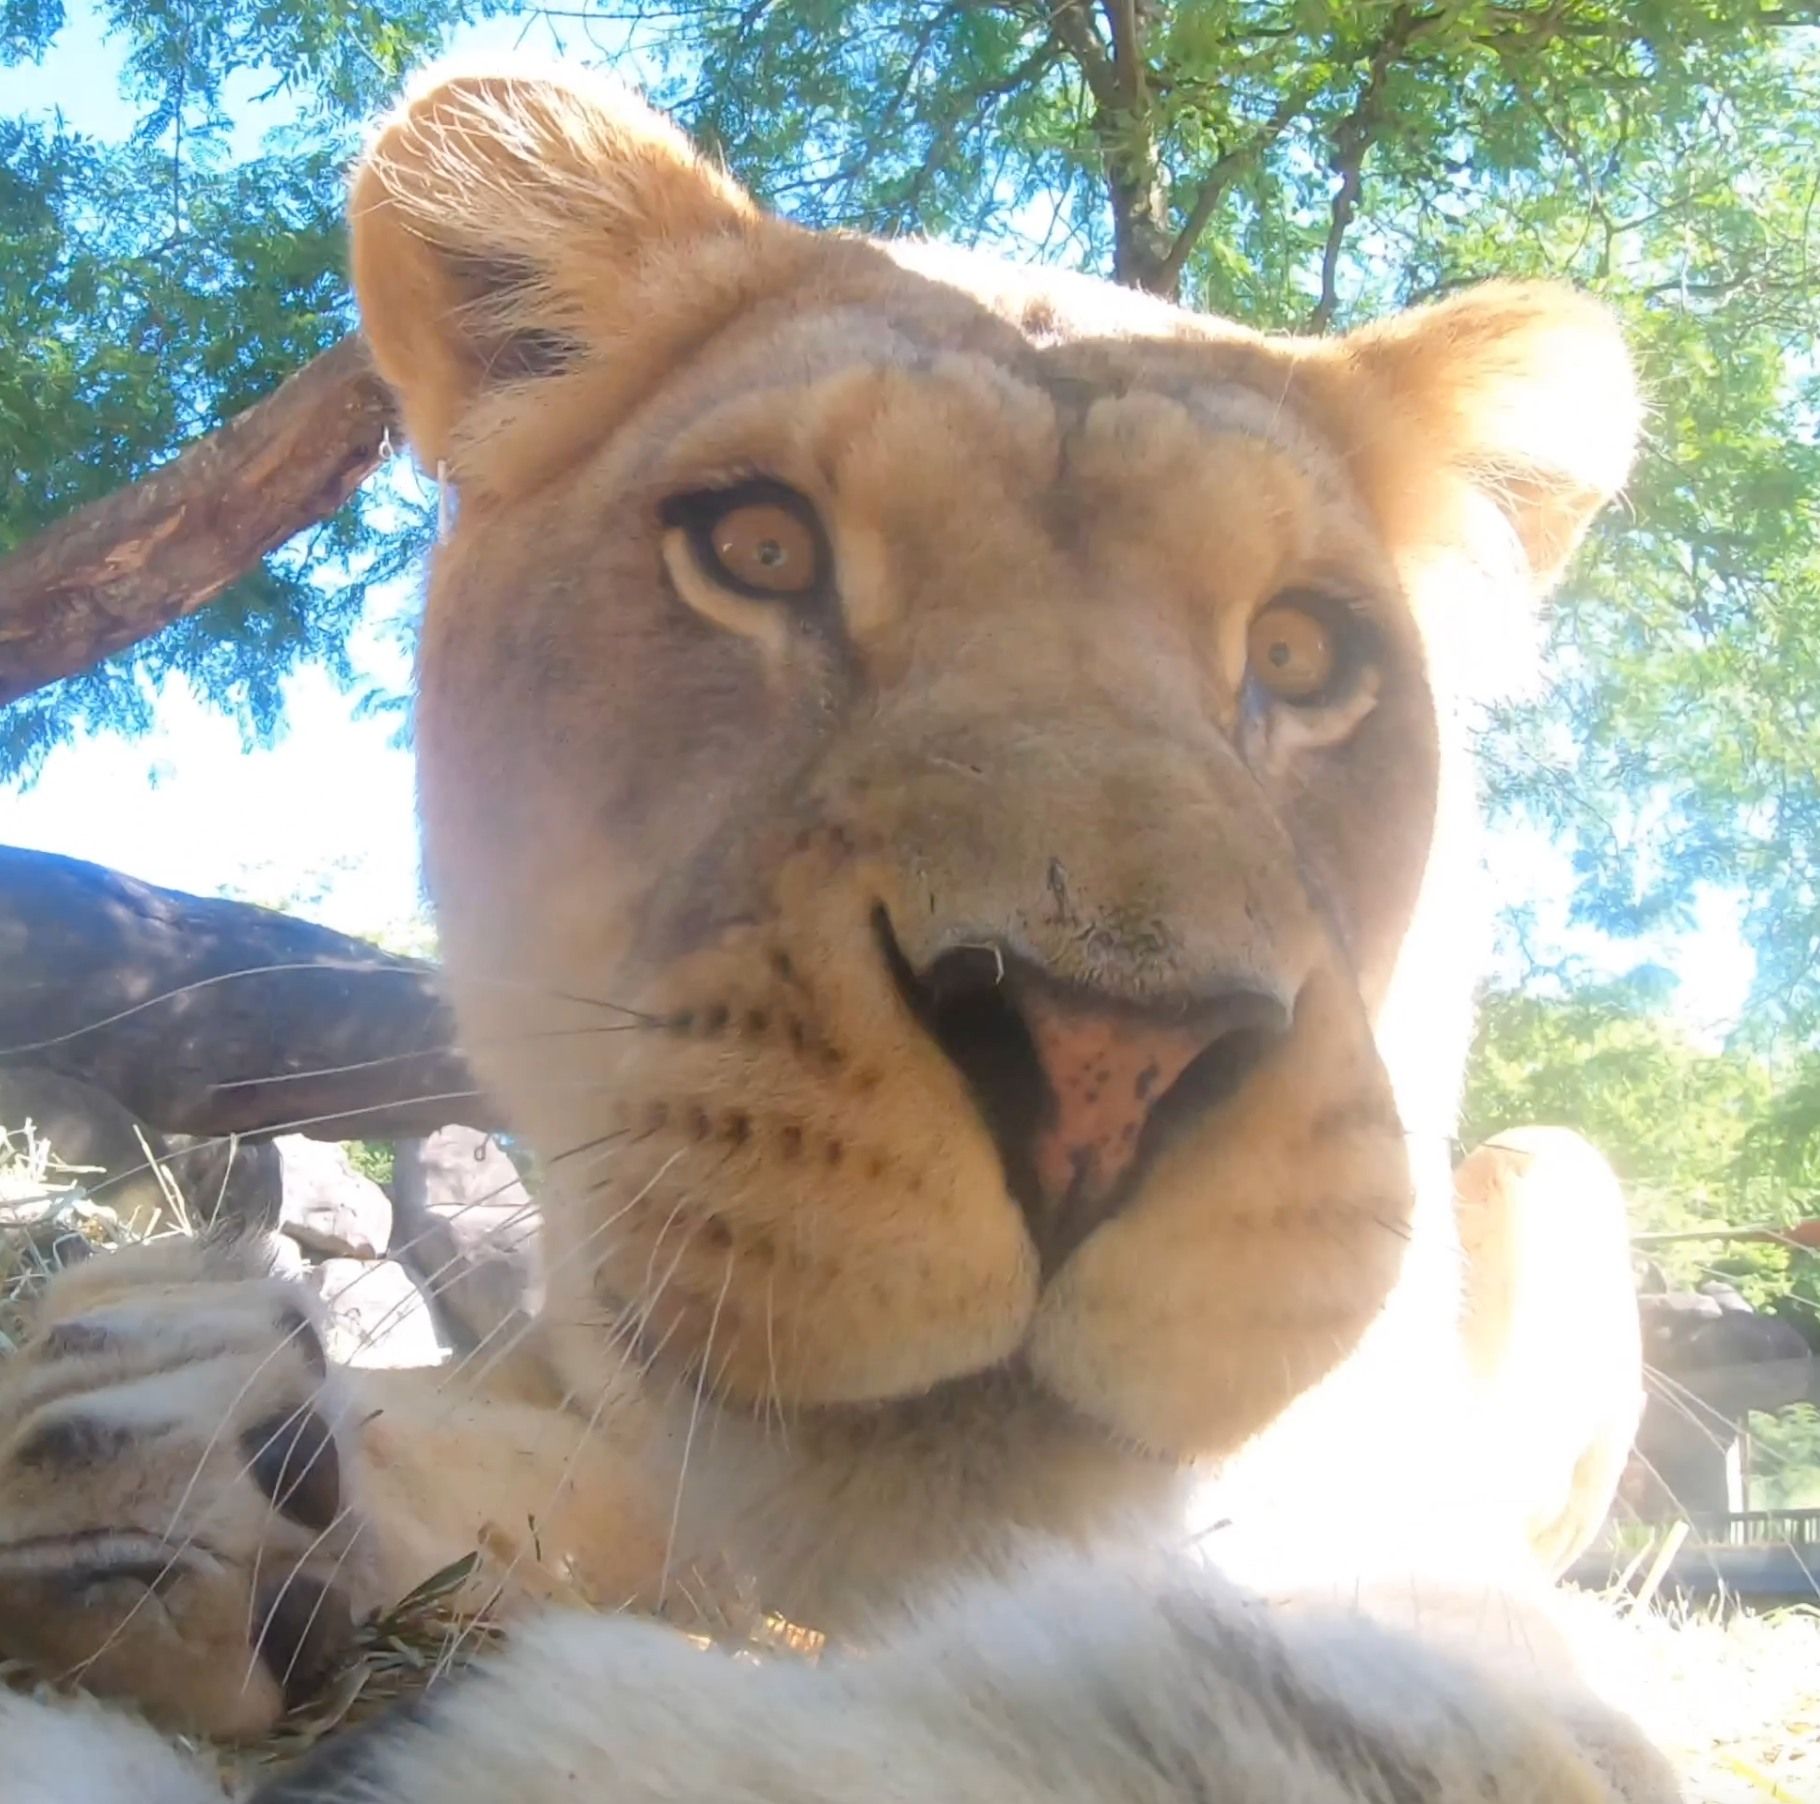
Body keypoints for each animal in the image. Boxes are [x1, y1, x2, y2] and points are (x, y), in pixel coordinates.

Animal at [0, 63, 1667, 1804]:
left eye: (1301, 653)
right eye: (761, 548)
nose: (1102, 1068)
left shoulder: (1410, 1552)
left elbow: (1332, 1701)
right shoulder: (598, 1410)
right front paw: (167, 1446)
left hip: (1554, 1169)